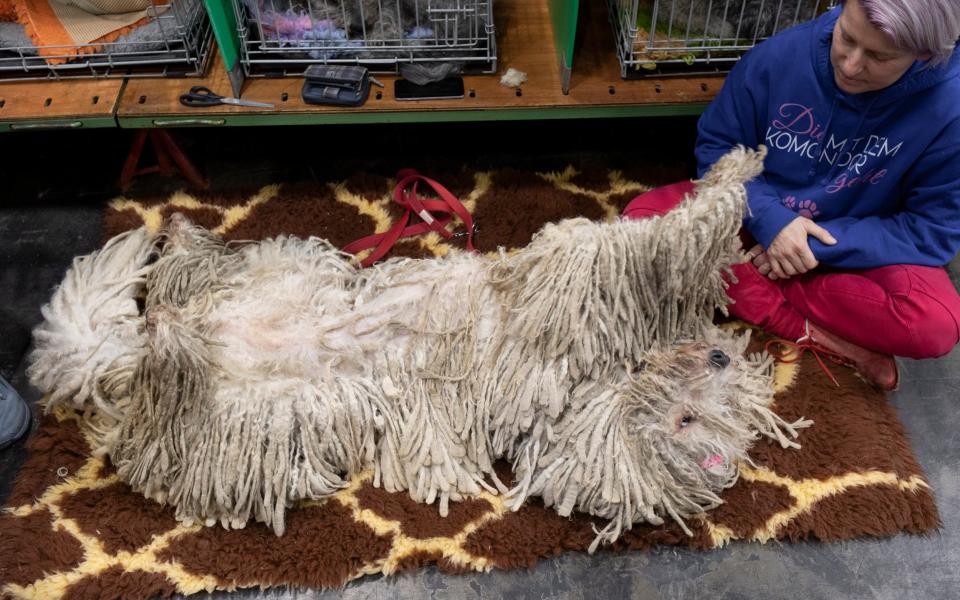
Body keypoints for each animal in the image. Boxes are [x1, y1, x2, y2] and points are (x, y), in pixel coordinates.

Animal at [28, 145, 808, 552]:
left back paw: (171, 338)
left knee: (168, 382)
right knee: (191, 279)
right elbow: (649, 242)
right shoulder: (578, 282)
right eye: (694, 412)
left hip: (253, 422)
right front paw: (736, 173)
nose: (716, 358)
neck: (596, 385)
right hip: (296, 268)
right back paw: (184, 241)